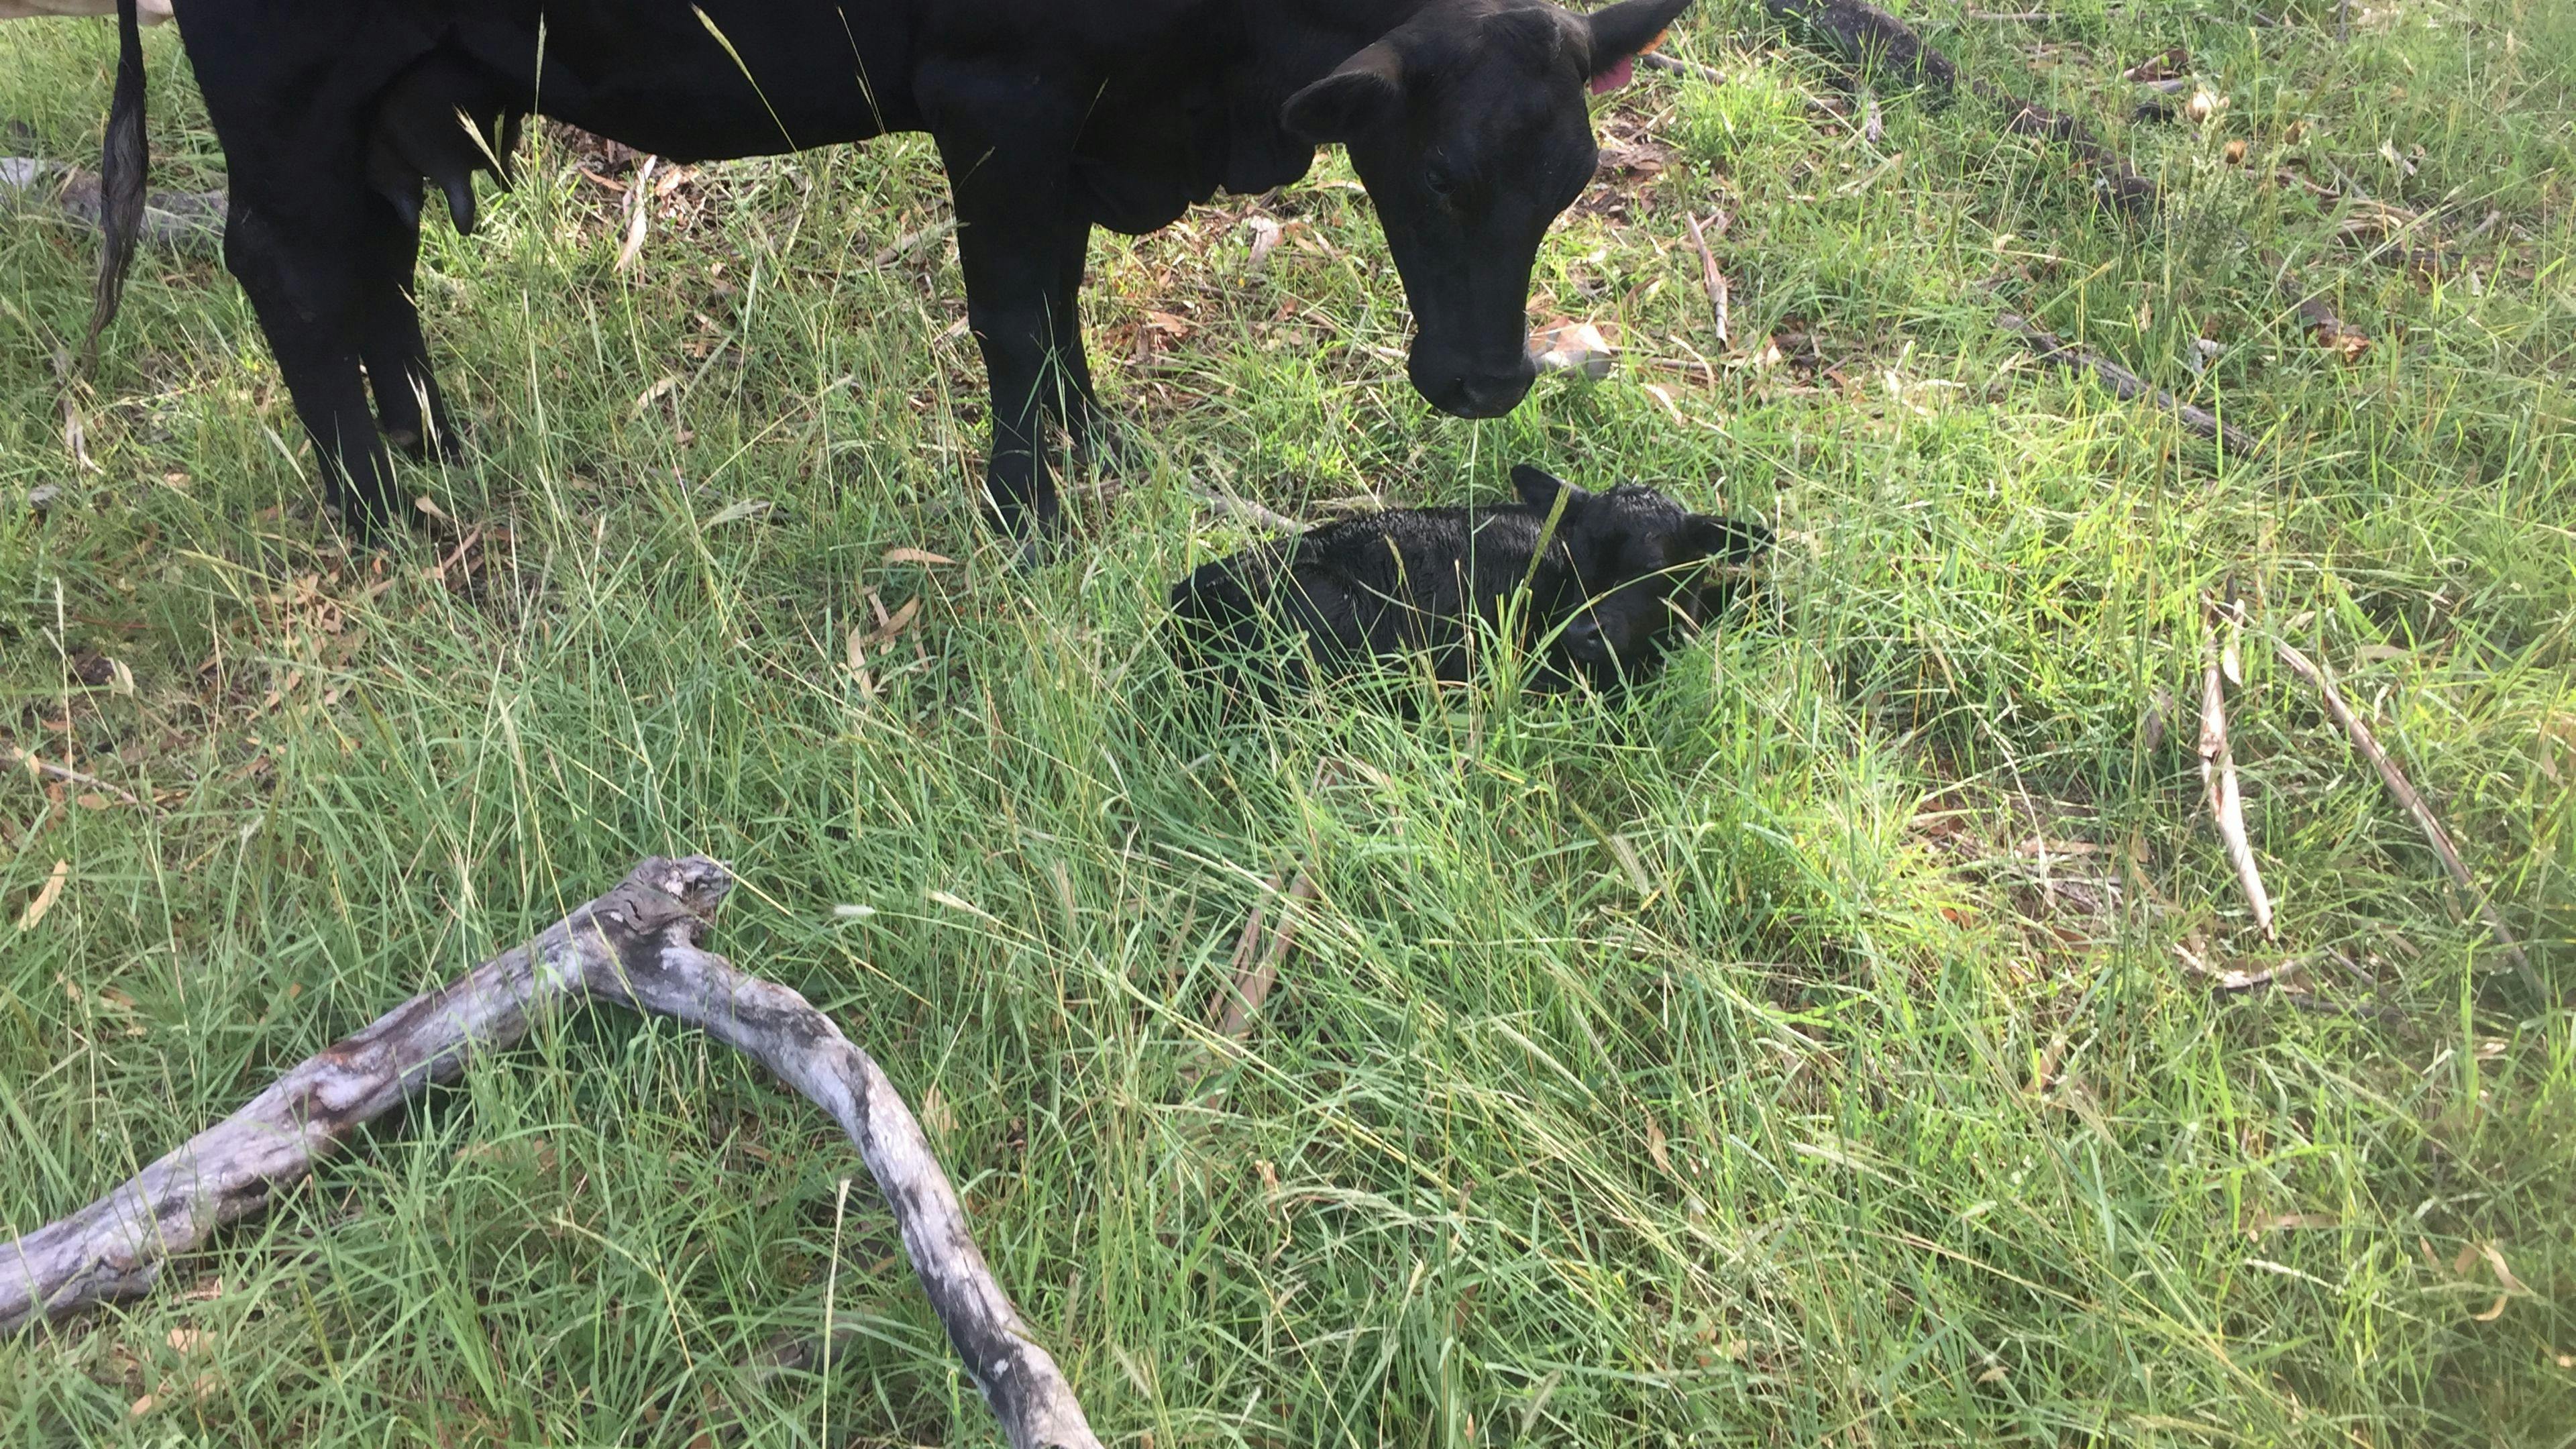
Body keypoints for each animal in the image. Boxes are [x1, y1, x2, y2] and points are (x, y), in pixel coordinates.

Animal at [82, 0, 1695, 546]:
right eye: (1439, 178)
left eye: (1572, 181)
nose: (1487, 382)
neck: (1209, 94)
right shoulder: (999, 103)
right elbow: (1014, 315)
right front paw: (1027, 512)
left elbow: (1058, 308)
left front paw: (1097, 454)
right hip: (286, 106)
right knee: (291, 267)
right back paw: (375, 512)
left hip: (391, 104)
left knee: (377, 263)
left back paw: (432, 451)